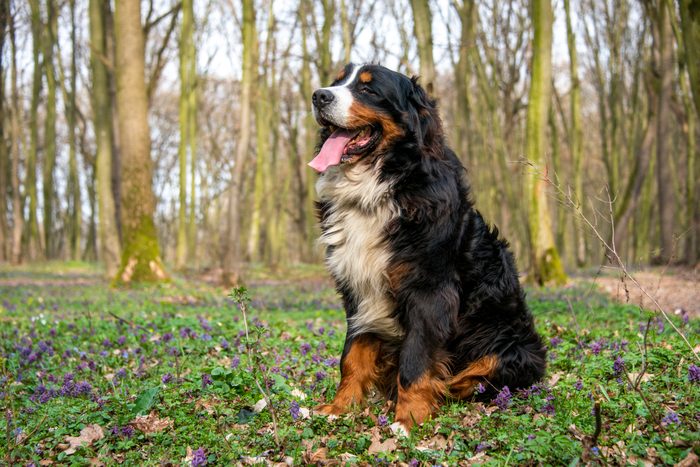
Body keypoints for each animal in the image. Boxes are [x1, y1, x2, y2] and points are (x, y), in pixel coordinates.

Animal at [308, 63, 548, 436]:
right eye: (337, 82)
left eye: (368, 89)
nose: (319, 96)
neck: (380, 187)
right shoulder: (358, 287)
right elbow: (353, 355)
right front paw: (339, 407)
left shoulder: (429, 292)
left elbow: (416, 359)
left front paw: (408, 419)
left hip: (514, 345)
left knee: (483, 373)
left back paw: (450, 387)